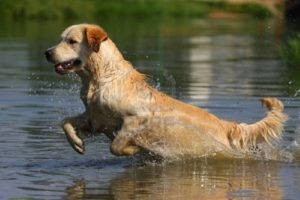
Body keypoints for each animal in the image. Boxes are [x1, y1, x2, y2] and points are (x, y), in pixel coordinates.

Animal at [45, 23, 288, 158]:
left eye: (72, 41)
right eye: (61, 39)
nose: (47, 53)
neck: (100, 78)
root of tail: (226, 125)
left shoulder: (137, 119)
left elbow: (116, 145)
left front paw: (134, 149)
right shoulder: (94, 118)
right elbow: (65, 122)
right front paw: (77, 144)